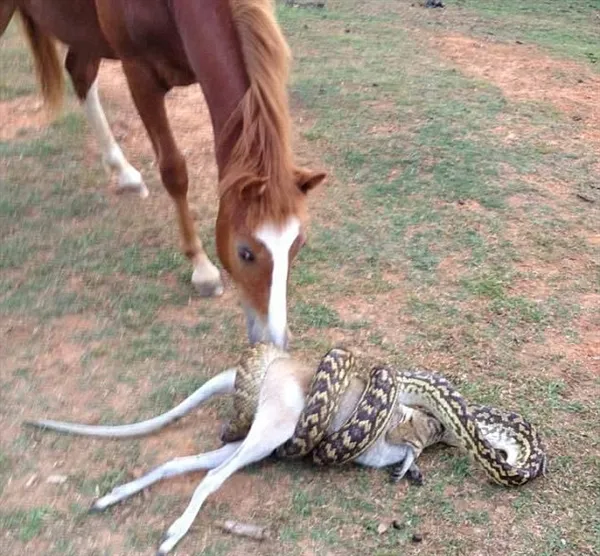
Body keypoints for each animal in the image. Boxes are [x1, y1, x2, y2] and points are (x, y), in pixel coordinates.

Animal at [0, 0, 326, 348]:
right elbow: (174, 171)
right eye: (245, 252)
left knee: (80, 74)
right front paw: (202, 269)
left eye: (298, 243)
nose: (275, 340)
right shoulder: (139, 76)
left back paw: (124, 172)